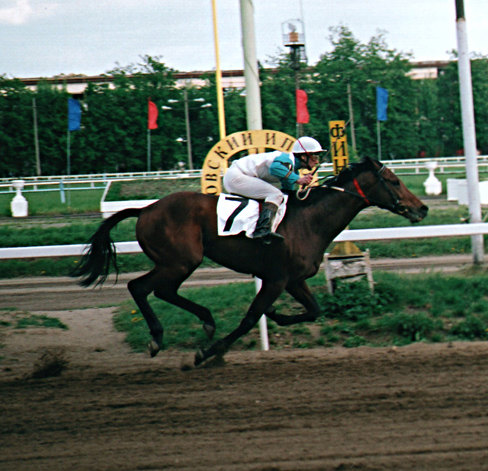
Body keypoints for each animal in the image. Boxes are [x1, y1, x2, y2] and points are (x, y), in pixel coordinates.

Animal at [71, 157, 428, 366]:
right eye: (393, 181)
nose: (421, 208)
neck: (309, 220)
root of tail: (146, 209)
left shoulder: (294, 279)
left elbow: (313, 311)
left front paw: (277, 316)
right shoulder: (276, 279)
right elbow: (249, 318)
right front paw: (209, 353)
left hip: (177, 263)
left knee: (160, 291)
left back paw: (204, 321)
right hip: (180, 261)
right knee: (140, 287)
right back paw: (159, 337)